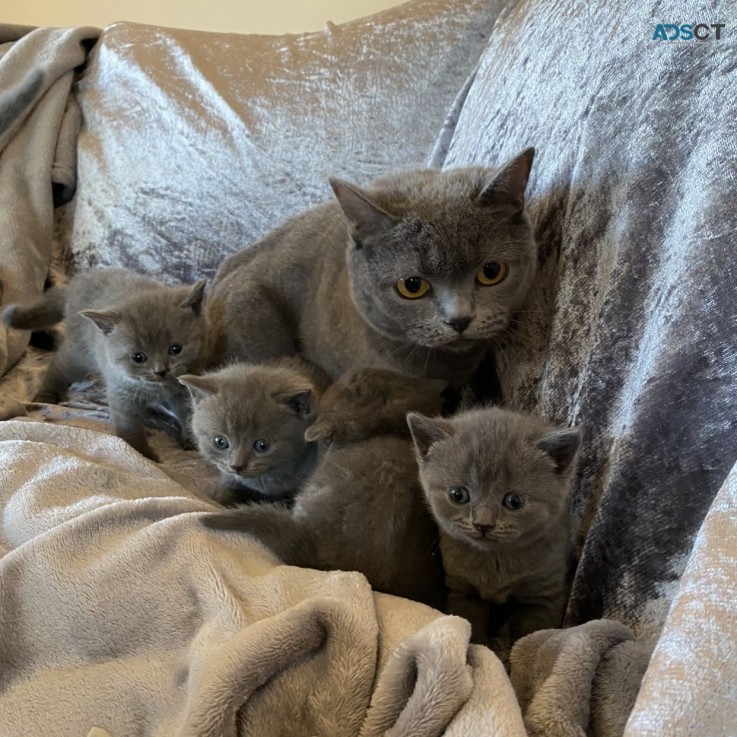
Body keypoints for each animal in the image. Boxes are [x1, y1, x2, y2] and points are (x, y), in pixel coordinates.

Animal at [2, 264, 207, 460]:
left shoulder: (184, 389)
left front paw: (191, 440)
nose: (161, 370)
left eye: (176, 349)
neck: (157, 388)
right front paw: (143, 454)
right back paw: (46, 395)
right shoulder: (121, 391)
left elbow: (190, 414)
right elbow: (129, 426)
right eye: (138, 357)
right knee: (58, 365)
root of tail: (76, 282)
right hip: (81, 354)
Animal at [406, 408, 576, 644]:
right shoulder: (463, 590)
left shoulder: (545, 594)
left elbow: (533, 634)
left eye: (514, 501)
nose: (483, 524)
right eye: (457, 495)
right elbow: (471, 626)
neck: (494, 561)